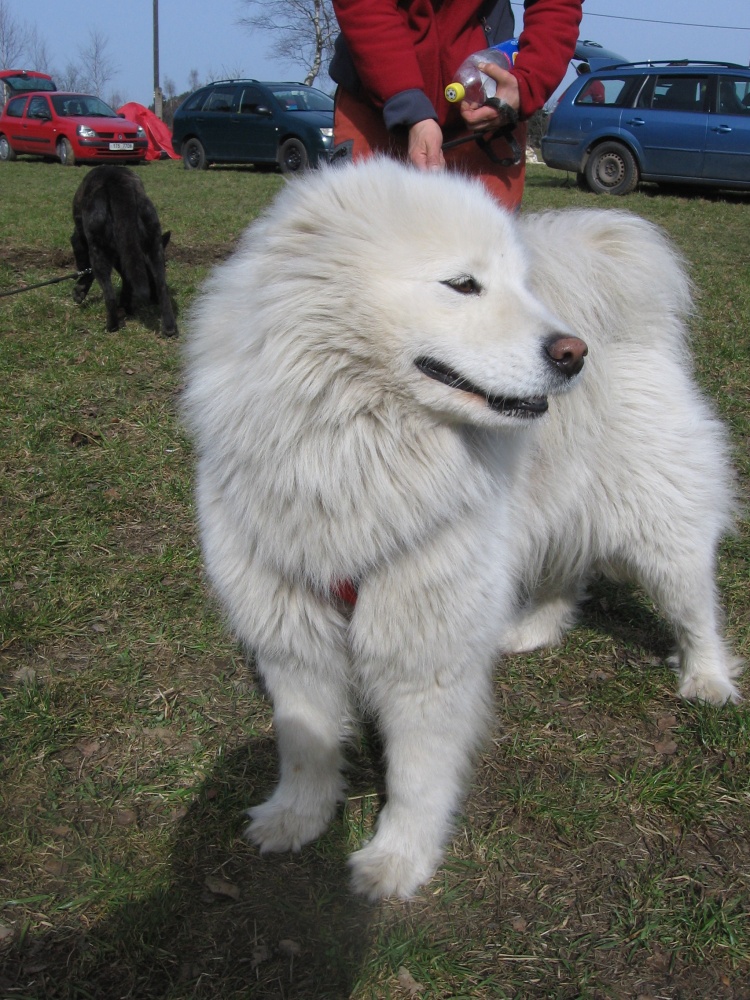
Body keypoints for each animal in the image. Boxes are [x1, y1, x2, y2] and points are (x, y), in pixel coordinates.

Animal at [73, 165, 179, 336]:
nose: (152, 298)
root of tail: (118, 184)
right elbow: (128, 281)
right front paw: (127, 305)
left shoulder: (84, 241)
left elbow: (87, 269)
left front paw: (80, 290)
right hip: (153, 245)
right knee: (162, 288)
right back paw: (169, 327)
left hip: (98, 250)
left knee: (109, 295)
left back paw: (111, 326)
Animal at [185, 160, 744, 904]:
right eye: (462, 284)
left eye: (519, 284)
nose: (573, 353)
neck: (354, 454)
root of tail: (628, 331)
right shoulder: (292, 634)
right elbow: (304, 746)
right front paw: (296, 817)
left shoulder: (425, 656)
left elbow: (417, 777)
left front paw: (397, 860)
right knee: (567, 577)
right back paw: (532, 630)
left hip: (663, 537)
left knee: (696, 608)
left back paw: (707, 680)